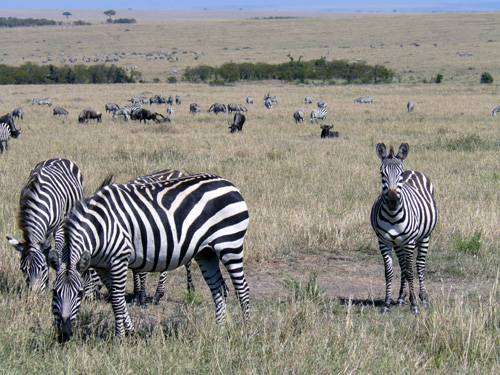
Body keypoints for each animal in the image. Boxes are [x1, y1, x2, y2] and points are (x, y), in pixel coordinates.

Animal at [52, 175, 252, 342]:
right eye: (54, 292)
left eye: (79, 293)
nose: (64, 335)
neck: (100, 229)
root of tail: (229, 184)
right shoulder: (103, 267)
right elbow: (119, 300)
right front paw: (131, 332)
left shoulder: (119, 259)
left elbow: (116, 300)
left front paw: (119, 338)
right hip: (206, 252)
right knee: (218, 288)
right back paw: (220, 330)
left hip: (230, 244)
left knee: (242, 289)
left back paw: (246, 331)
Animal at [372, 145, 438, 316]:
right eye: (382, 173)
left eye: (400, 174)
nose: (393, 200)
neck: (392, 215)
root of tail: (413, 171)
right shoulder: (384, 242)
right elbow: (389, 273)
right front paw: (387, 305)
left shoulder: (409, 242)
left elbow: (410, 271)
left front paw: (414, 305)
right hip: (398, 243)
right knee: (402, 265)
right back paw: (401, 297)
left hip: (424, 237)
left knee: (419, 265)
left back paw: (423, 298)